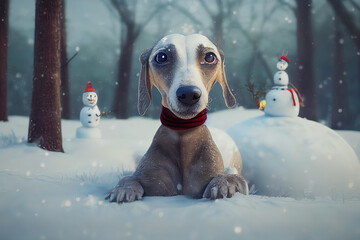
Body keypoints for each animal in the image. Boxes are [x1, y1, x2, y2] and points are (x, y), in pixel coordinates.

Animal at [105, 33, 249, 202]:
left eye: (210, 57)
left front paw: (222, 184)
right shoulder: (154, 181)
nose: (189, 94)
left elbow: (232, 178)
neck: (183, 133)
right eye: (161, 57)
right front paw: (124, 189)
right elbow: (129, 178)